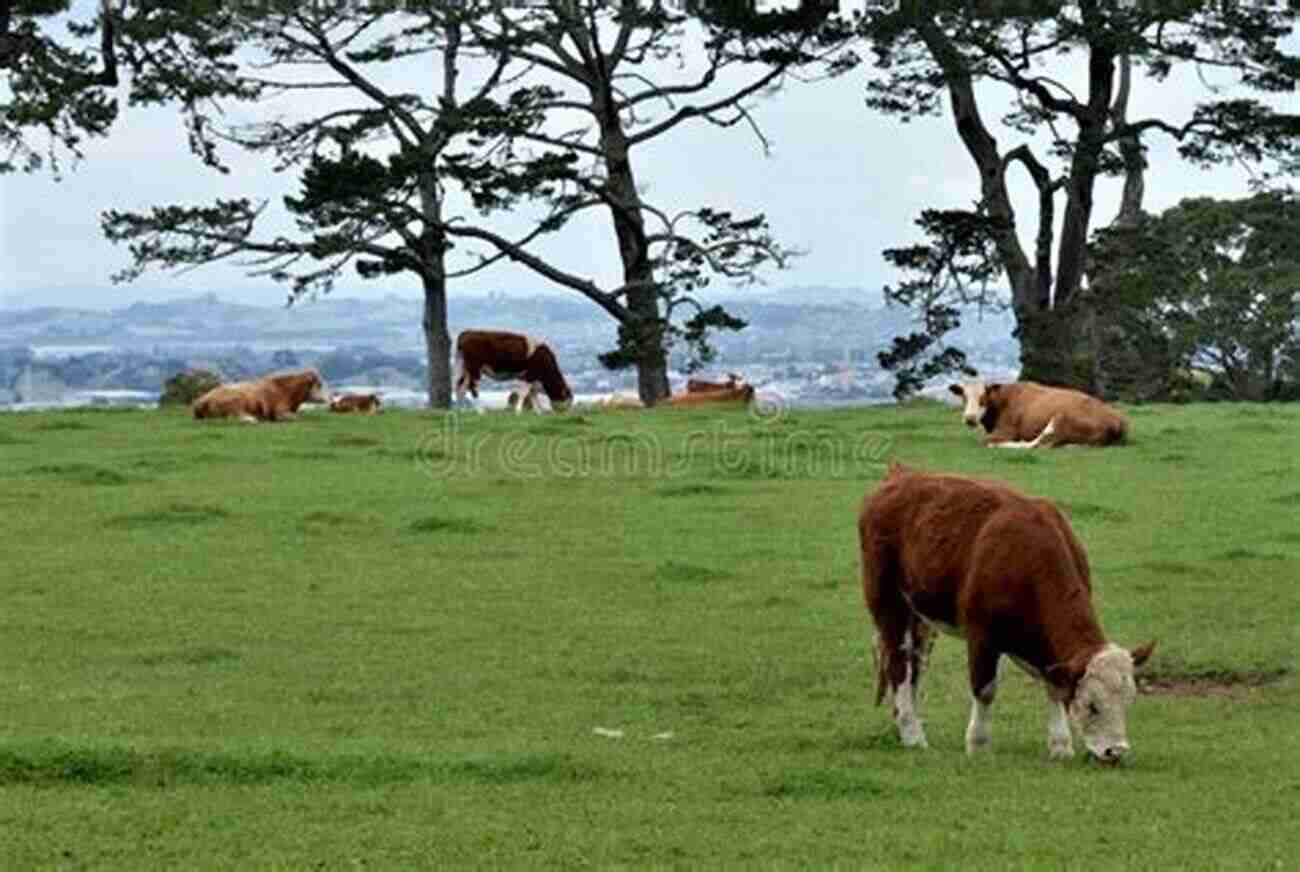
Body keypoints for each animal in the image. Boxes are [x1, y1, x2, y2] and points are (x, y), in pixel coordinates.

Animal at [189, 369, 330, 423]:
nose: (328, 398)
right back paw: (251, 419)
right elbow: (296, 418)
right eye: (319, 385)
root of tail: (201, 401)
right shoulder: (280, 412)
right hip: (236, 402)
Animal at [857, 462, 1154, 764]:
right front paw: (977, 743)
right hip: (888, 602)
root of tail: (901, 473)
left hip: (920, 616)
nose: (1115, 751)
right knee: (898, 662)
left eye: (1129, 701)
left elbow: (1054, 686)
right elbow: (985, 689)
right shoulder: (981, 635)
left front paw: (1060, 746)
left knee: (916, 663)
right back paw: (913, 735)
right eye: (1092, 705)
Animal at [946, 379, 1128, 449]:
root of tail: (1117, 419)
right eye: (964, 397)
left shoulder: (1006, 431)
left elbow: (985, 440)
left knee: (1036, 444)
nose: (970, 418)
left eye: (983, 398)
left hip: (1060, 418)